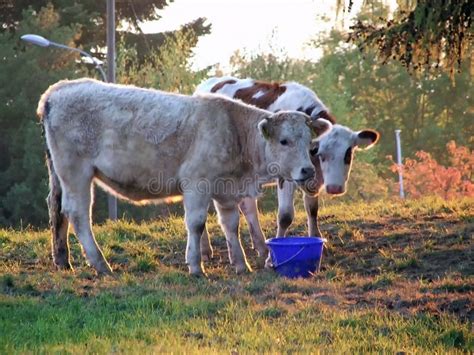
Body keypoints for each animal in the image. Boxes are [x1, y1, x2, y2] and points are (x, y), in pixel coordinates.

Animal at [38, 78, 330, 276]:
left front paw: (241, 264)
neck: (234, 130)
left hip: (59, 174)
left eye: (310, 143)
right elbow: (197, 224)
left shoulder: (226, 189)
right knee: (77, 214)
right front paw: (196, 266)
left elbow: (231, 225)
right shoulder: (197, 183)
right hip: (75, 172)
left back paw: (62, 260)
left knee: (56, 209)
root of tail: (58, 90)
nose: (307, 170)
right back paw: (100, 263)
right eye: (284, 141)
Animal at [194, 76, 380, 264]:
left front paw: (319, 242)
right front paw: (272, 258)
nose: (335, 188)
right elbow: (285, 216)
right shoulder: (285, 176)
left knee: (249, 207)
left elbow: (312, 209)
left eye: (348, 154)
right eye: (321, 154)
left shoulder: (311, 177)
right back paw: (206, 250)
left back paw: (260, 246)